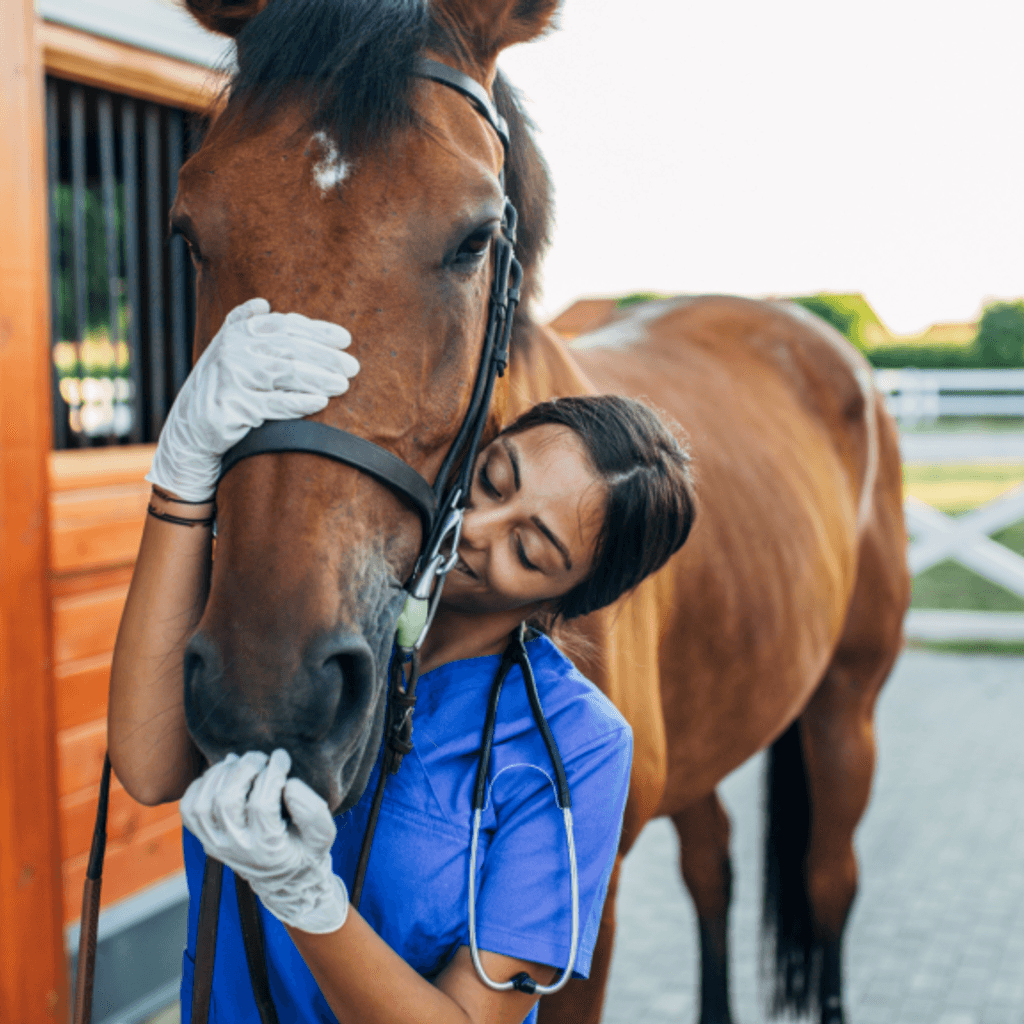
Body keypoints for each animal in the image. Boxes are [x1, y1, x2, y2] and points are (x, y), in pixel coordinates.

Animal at [171, 1, 910, 1021]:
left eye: (476, 238)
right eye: (189, 229)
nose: (269, 691)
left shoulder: (588, 924)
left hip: (848, 707)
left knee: (831, 880)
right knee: (712, 864)